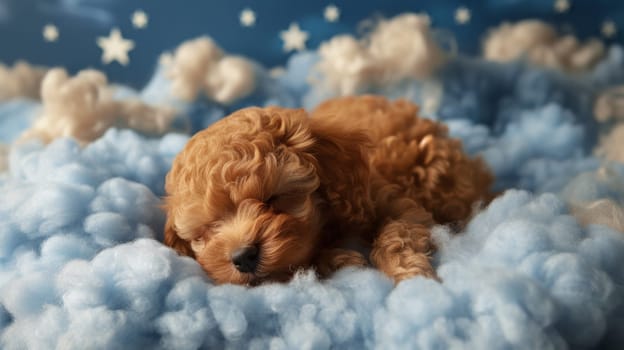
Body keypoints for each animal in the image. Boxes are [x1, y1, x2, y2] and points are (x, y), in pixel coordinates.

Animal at [163, 95, 494, 284]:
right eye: (206, 229)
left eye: (272, 198)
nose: (243, 257)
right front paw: (340, 261)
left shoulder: (394, 203)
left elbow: (396, 234)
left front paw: (408, 272)